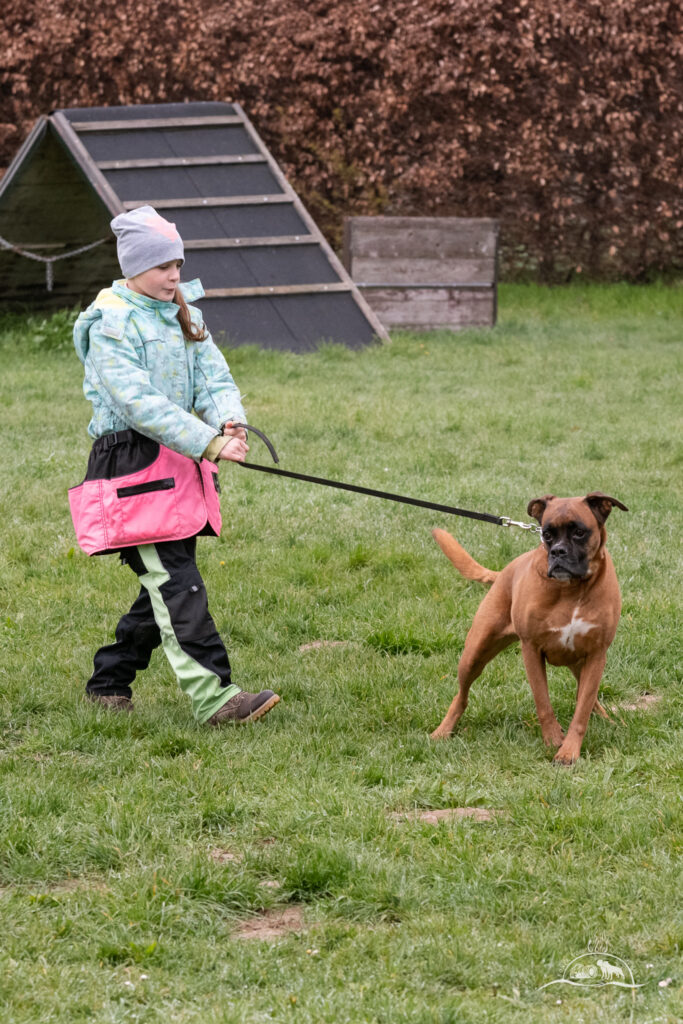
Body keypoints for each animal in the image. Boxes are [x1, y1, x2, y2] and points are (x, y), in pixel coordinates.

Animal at [432, 491, 630, 765]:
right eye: (547, 534)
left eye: (579, 532)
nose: (557, 551)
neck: (571, 589)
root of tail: (504, 571)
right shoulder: (532, 651)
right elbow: (543, 702)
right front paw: (554, 740)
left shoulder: (596, 655)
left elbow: (582, 708)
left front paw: (569, 749)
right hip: (473, 655)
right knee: (460, 696)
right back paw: (443, 730)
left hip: (581, 663)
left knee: (587, 697)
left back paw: (606, 719)